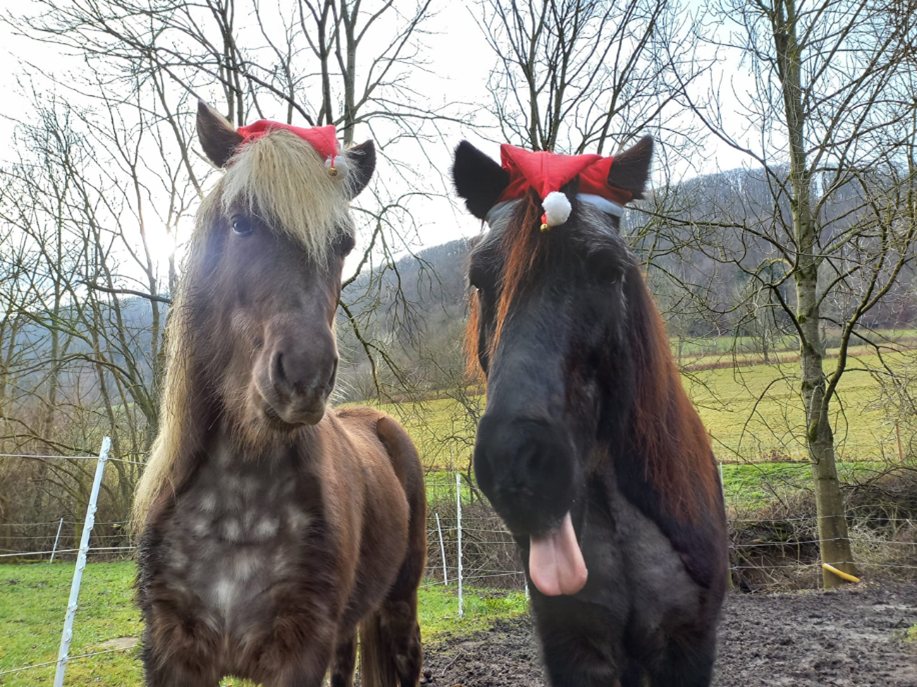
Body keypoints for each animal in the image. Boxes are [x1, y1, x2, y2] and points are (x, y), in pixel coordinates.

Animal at [132, 101, 426, 687]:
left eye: (344, 244)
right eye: (241, 223)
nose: (305, 375)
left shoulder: (298, 651)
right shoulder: (174, 654)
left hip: (400, 603)